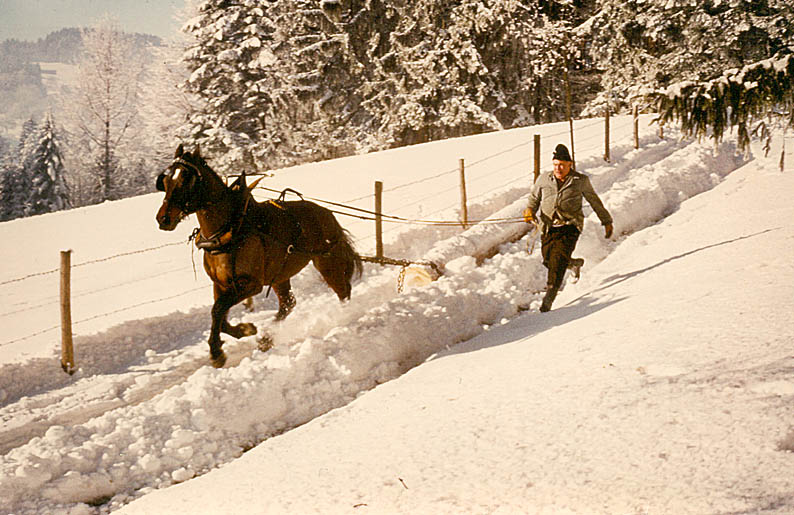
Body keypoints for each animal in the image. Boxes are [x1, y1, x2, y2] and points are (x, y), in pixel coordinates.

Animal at [154, 145, 362, 368]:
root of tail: (327, 213)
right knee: (288, 304)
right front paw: (244, 330)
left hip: (326, 263)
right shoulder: (221, 284)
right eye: (166, 181)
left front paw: (217, 352)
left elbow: (218, 310)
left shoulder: (251, 285)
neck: (230, 229)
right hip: (280, 274)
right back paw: (267, 338)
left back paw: (342, 316)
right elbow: (220, 315)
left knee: (343, 291)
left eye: (186, 179)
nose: (163, 219)